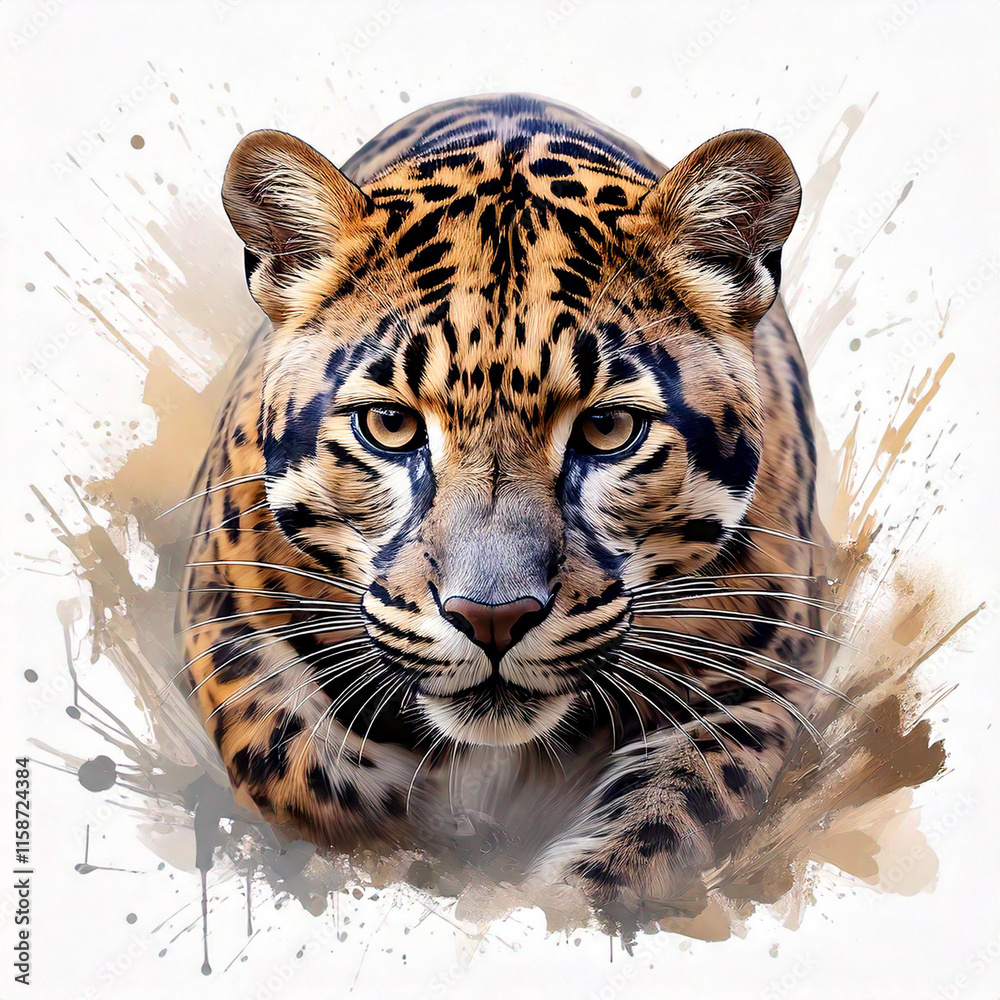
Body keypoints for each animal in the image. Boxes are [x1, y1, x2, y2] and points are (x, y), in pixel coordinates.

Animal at [177, 93, 835, 910]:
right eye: (389, 425)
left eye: (608, 429)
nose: (494, 619)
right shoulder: (225, 613)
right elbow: (291, 765)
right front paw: (412, 852)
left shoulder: (762, 680)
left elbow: (669, 818)